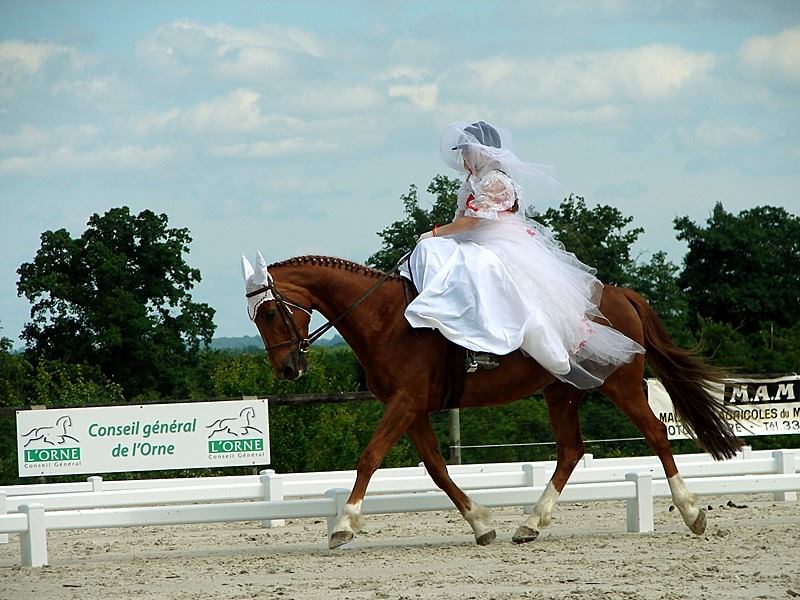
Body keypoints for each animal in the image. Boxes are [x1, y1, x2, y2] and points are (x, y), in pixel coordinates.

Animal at [241, 253, 740, 548]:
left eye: (270, 312)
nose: (287, 370)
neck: (384, 319)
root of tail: (620, 294)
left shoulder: (404, 404)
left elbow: (369, 458)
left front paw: (344, 525)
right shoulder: (413, 409)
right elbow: (438, 470)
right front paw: (481, 524)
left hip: (620, 384)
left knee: (655, 433)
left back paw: (692, 513)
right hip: (561, 391)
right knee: (570, 452)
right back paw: (530, 524)